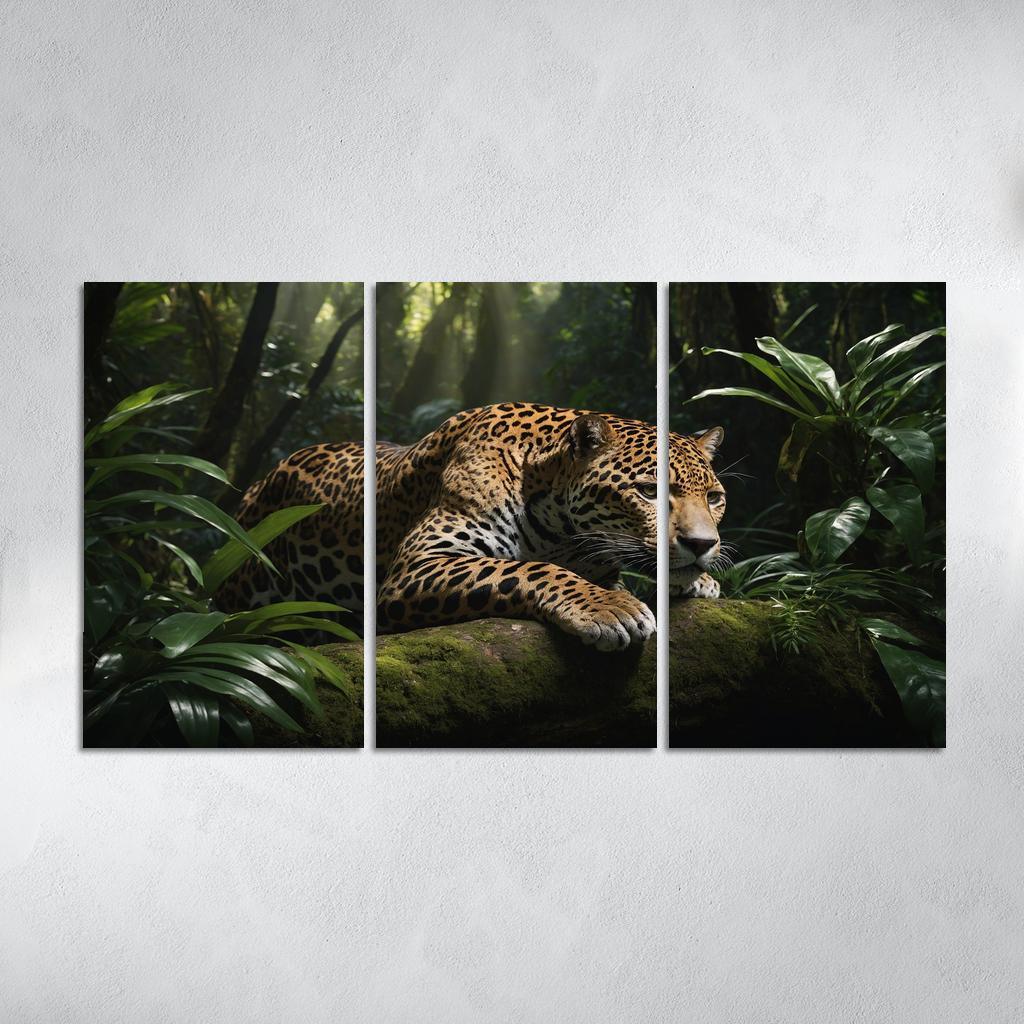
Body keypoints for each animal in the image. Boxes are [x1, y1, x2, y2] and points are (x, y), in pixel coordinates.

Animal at [217, 403, 726, 651]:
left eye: (715, 498)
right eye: (649, 491)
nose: (702, 544)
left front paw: (697, 580)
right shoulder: (420, 564)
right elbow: (529, 570)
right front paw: (609, 608)